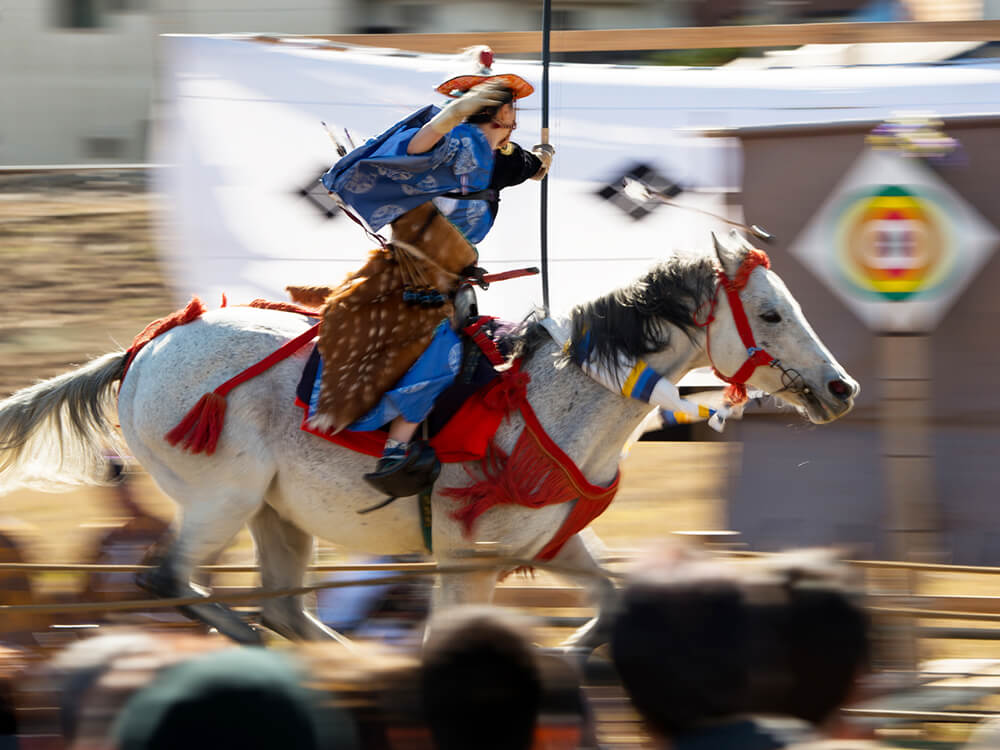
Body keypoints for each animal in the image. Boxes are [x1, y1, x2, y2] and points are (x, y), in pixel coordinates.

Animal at [0, 234, 860, 648]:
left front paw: (571, 657)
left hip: (276, 515)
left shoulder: (551, 546)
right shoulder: (464, 558)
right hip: (221, 498)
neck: (555, 400)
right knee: (171, 580)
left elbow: (615, 604)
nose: (841, 389)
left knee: (286, 610)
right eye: (771, 313)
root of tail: (144, 348)